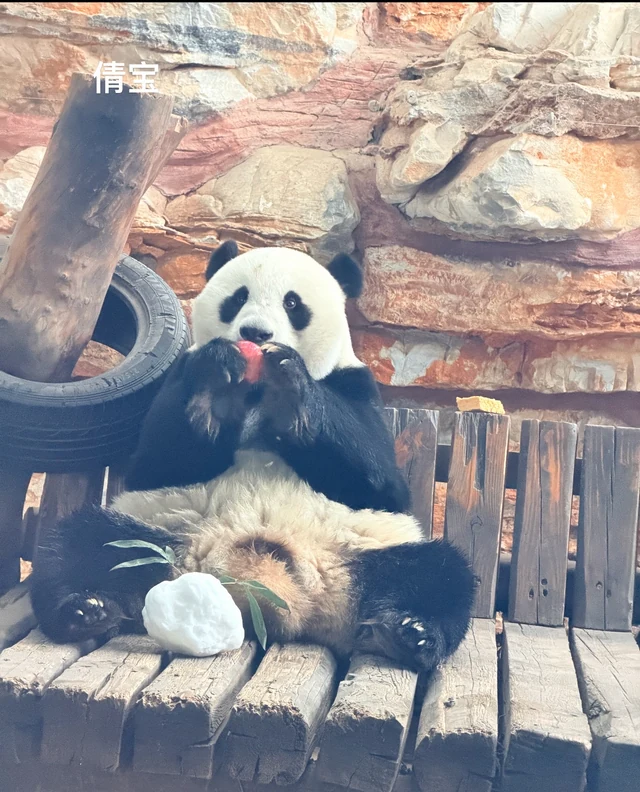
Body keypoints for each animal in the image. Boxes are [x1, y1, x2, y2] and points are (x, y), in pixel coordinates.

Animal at [31, 242, 474, 672]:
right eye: (238, 297)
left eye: (293, 303)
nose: (255, 332)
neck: (258, 395)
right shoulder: (179, 378)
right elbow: (157, 463)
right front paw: (217, 380)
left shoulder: (357, 385)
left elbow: (381, 482)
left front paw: (292, 386)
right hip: (157, 534)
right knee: (83, 544)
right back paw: (85, 608)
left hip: (361, 550)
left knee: (436, 574)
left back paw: (410, 634)